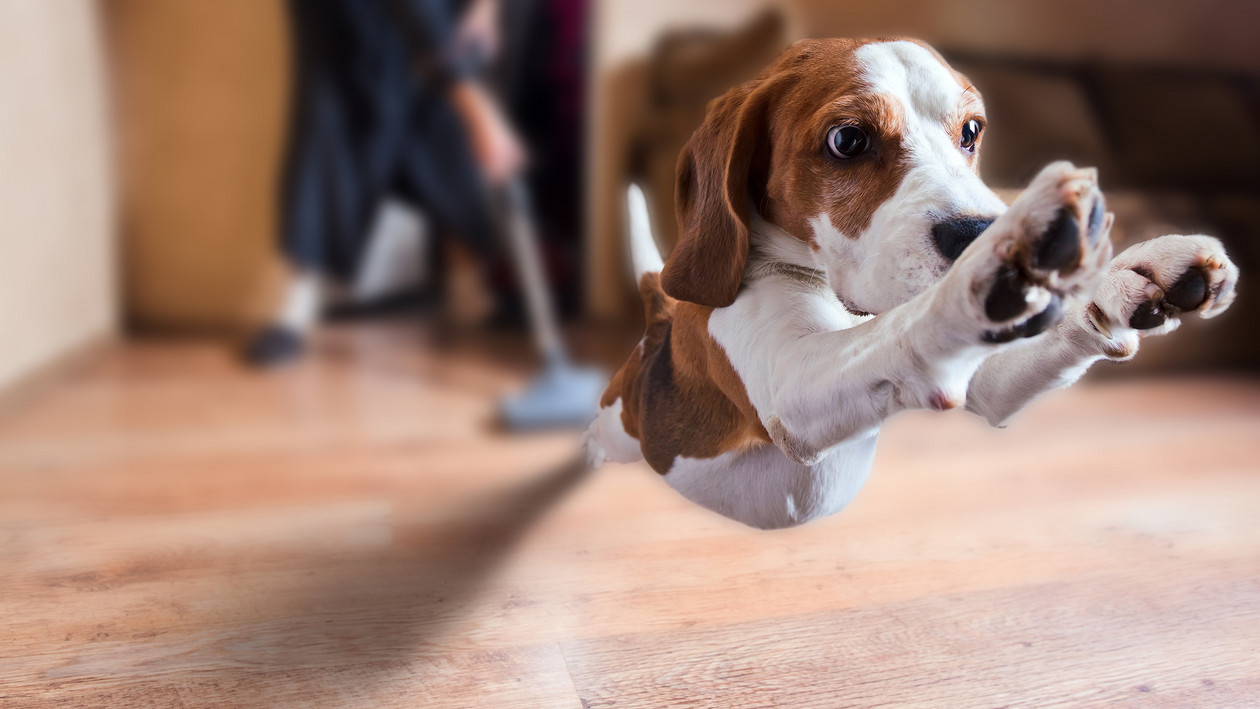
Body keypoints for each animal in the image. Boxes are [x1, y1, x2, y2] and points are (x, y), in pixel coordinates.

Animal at [587, 37, 1239, 526]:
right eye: (847, 139)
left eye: (971, 130)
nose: (980, 231)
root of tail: (655, 331)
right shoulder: (791, 381)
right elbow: (909, 324)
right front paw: (998, 263)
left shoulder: (985, 380)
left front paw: (1127, 275)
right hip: (619, 423)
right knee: (599, 435)